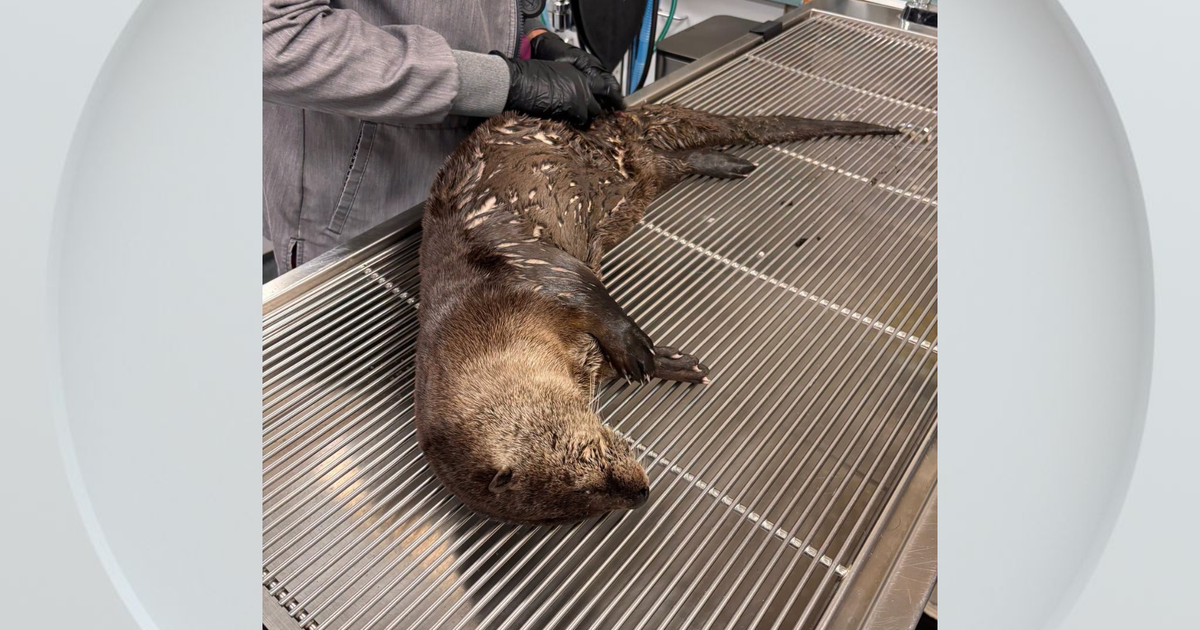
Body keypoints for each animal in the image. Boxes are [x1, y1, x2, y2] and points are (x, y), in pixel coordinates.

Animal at [414, 103, 898, 525]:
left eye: (584, 461)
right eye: (566, 513)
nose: (641, 494)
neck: (486, 314)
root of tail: (607, 133)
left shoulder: (529, 266)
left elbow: (590, 295)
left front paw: (641, 354)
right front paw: (675, 363)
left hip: (622, 163)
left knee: (669, 159)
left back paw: (725, 162)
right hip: (636, 184)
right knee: (665, 164)